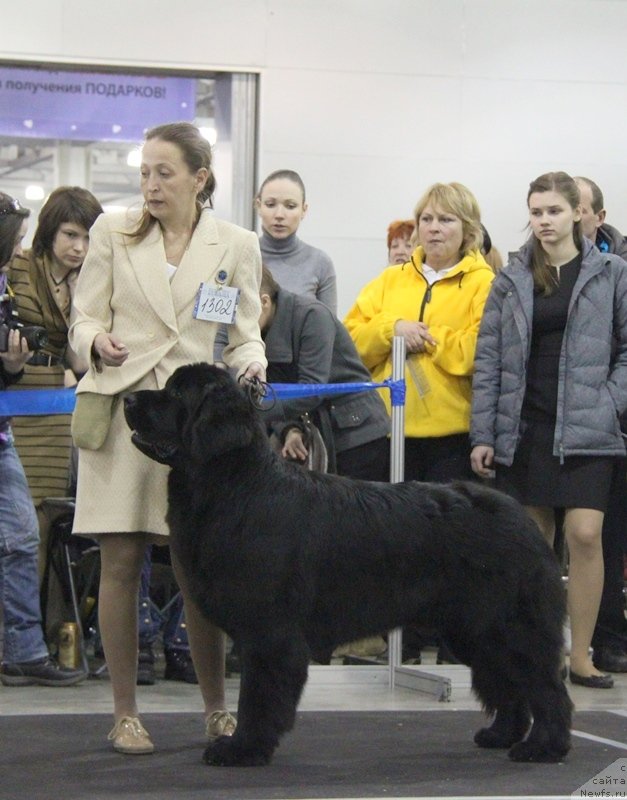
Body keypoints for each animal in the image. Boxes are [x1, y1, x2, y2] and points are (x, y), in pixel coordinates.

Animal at [124, 364, 576, 768]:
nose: (127, 398)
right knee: (509, 684)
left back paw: (543, 748)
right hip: (475, 631)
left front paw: (242, 749)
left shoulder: (269, 634)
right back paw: (502, 735)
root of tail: (523, 518)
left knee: (548, 689)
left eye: (177, 393)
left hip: (511, 626)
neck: (235, 485)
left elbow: (257, 698)